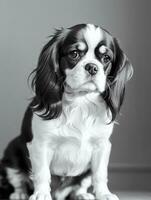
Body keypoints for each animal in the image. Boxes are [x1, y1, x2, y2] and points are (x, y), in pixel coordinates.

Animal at [0, 23, 133, 198]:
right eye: (74, 54)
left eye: (106, 58)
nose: (92, 67)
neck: (80, 102)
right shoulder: (40, 144)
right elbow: (42, 173)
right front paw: (41, 194)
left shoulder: (102, 145)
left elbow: (100, 174)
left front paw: (104, 194)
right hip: (11, 152)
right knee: (17, 181)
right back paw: (20, 194)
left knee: (81, 184)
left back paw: (81, 194)